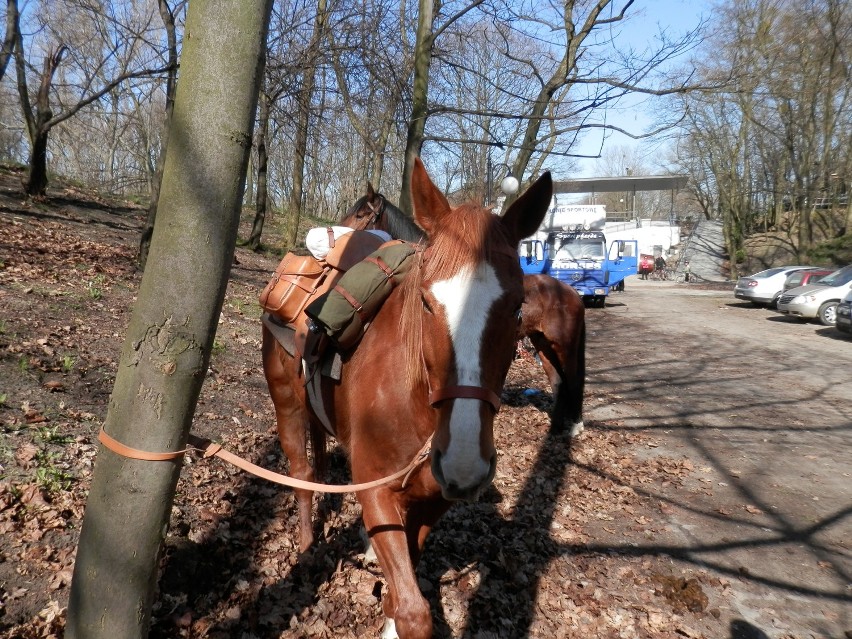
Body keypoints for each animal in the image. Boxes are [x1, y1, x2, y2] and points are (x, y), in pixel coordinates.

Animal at [262, 156, 552, 639]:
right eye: (426, 302)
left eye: (516, 309)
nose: (464, 464)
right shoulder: (377, 490)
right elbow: (414, 613)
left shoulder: (431, 502)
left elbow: (404, 590)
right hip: (287, 405)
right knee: (302, 473)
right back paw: (306, 545)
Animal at [342, 182, 584, 438]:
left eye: (360, 215)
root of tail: (569, 291)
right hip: (542, 343)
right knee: (558, 382)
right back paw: (555, 428)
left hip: (564, 346)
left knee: (573, 380)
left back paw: (575, 425)